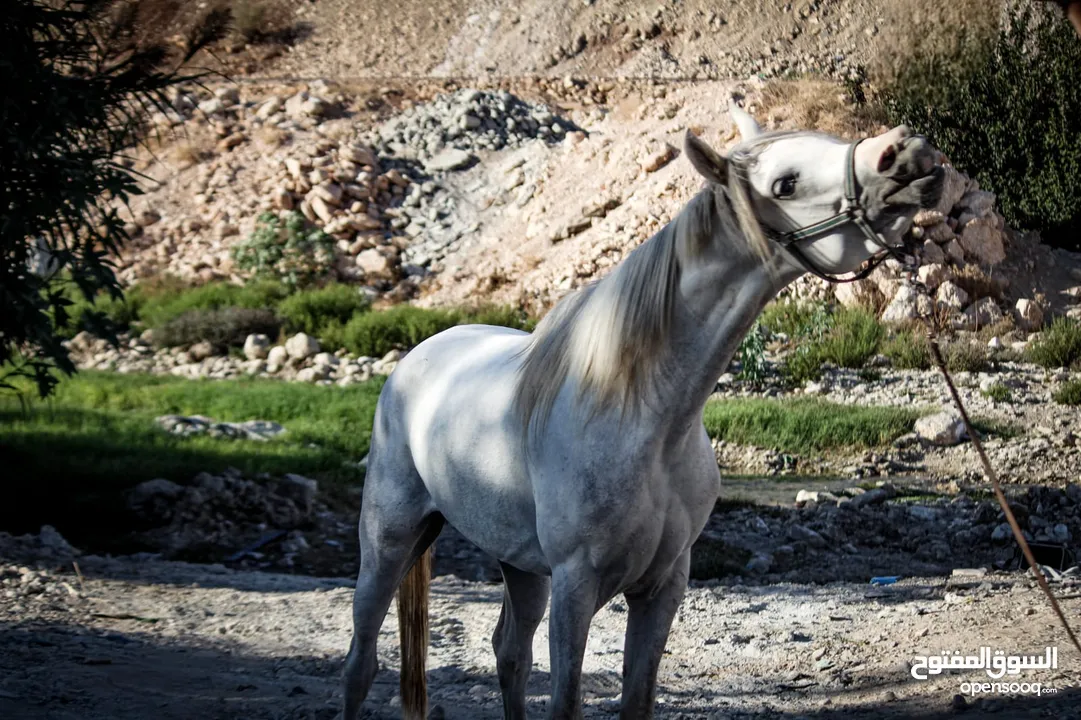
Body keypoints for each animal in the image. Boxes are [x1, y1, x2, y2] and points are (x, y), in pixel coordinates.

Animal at [341, 102, 942, 717]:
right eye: (785, 183)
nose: (908, 153)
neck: (646, 420)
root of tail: (419, 356)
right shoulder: (576, 587)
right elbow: (565, 702)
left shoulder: (663, 587)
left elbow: (637, 697)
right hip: (390, 541)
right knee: (362, 659)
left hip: (519, 563)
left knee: (510, 653)